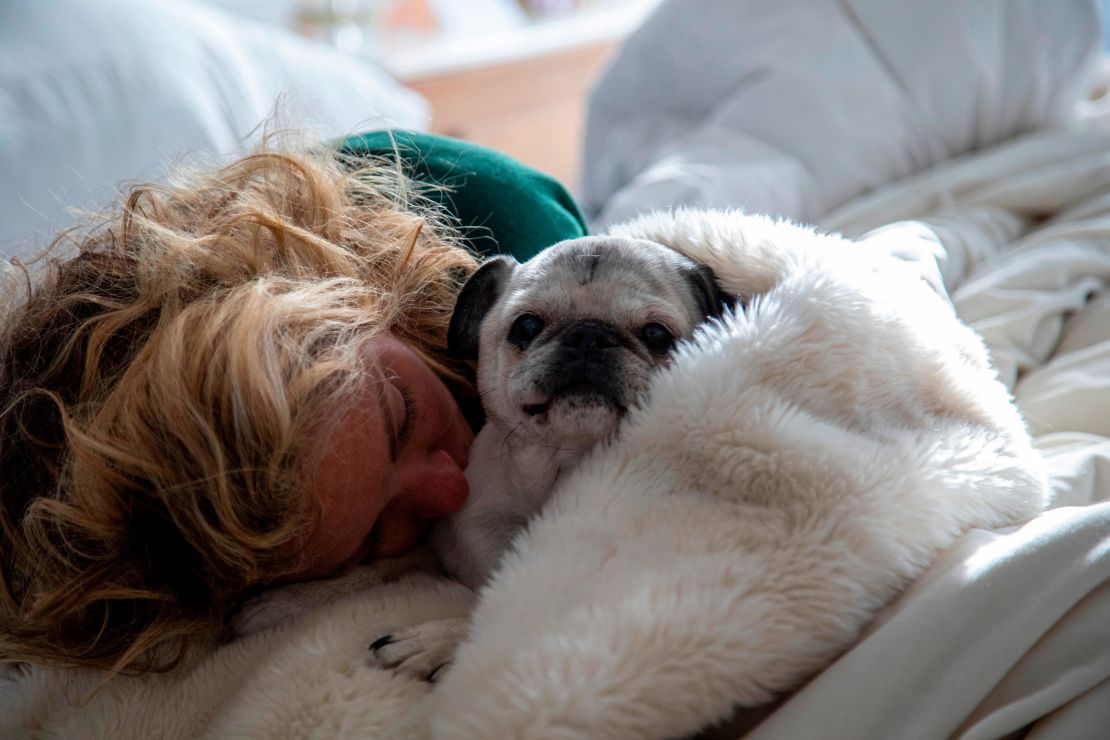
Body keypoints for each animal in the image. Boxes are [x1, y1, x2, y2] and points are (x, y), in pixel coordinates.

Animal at [366, 237, 737, 683]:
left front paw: (441, 641)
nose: (589, 335)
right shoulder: (475, 522)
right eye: (526, 327)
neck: (566, 461)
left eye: (656, 334)